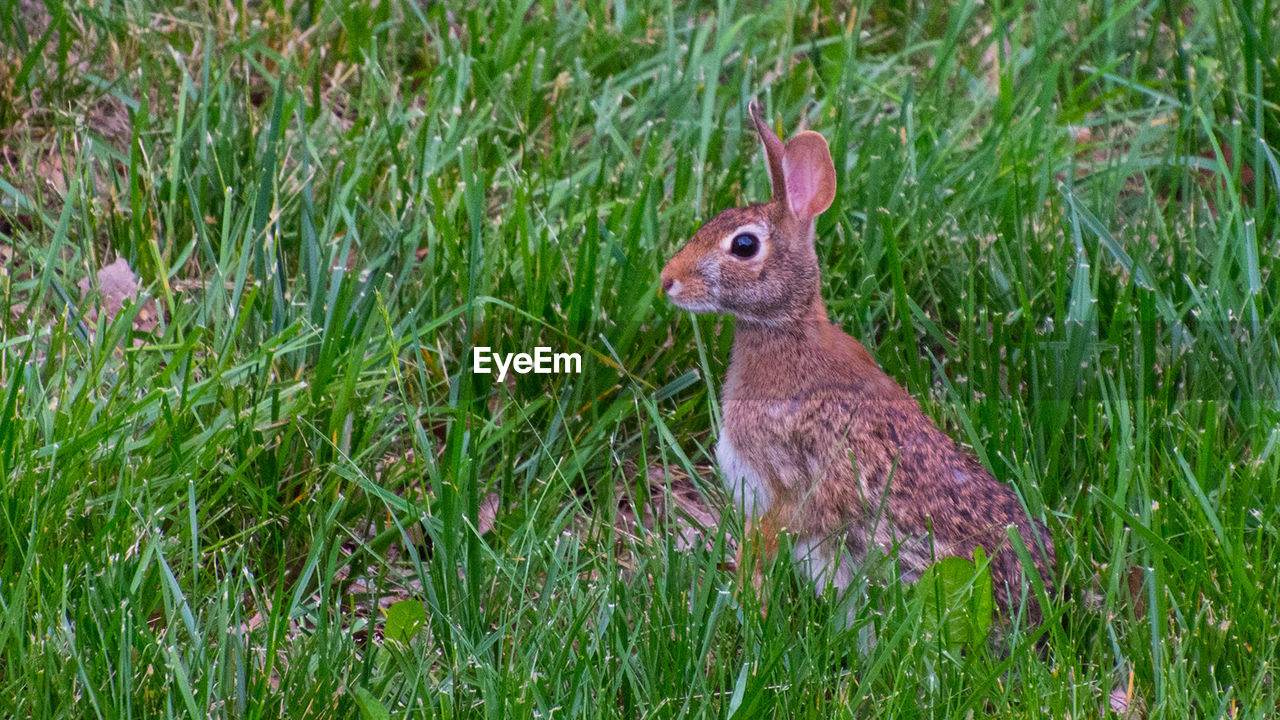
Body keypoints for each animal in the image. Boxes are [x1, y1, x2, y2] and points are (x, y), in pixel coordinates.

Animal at [655, 101, 1054, 617]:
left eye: (743, 245)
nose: (667, 281)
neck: (787, 327)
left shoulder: (784, 484)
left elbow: (767, 537)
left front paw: (745, 597)